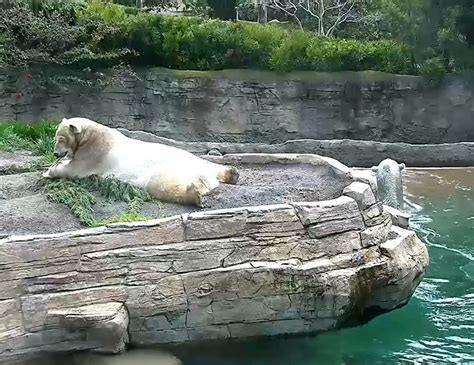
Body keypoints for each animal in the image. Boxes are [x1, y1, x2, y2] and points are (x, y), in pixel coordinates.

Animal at [42, 117, 239, 206]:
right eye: (55, 137)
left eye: (60, 138)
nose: (56, 154)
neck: (91, 135)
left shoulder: (95, 153)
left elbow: (75, 169)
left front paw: (50, 170)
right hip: (190, 158)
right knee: (209, 164)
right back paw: (231, 173)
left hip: (162, 173)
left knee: (166, 186)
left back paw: (196, 193)